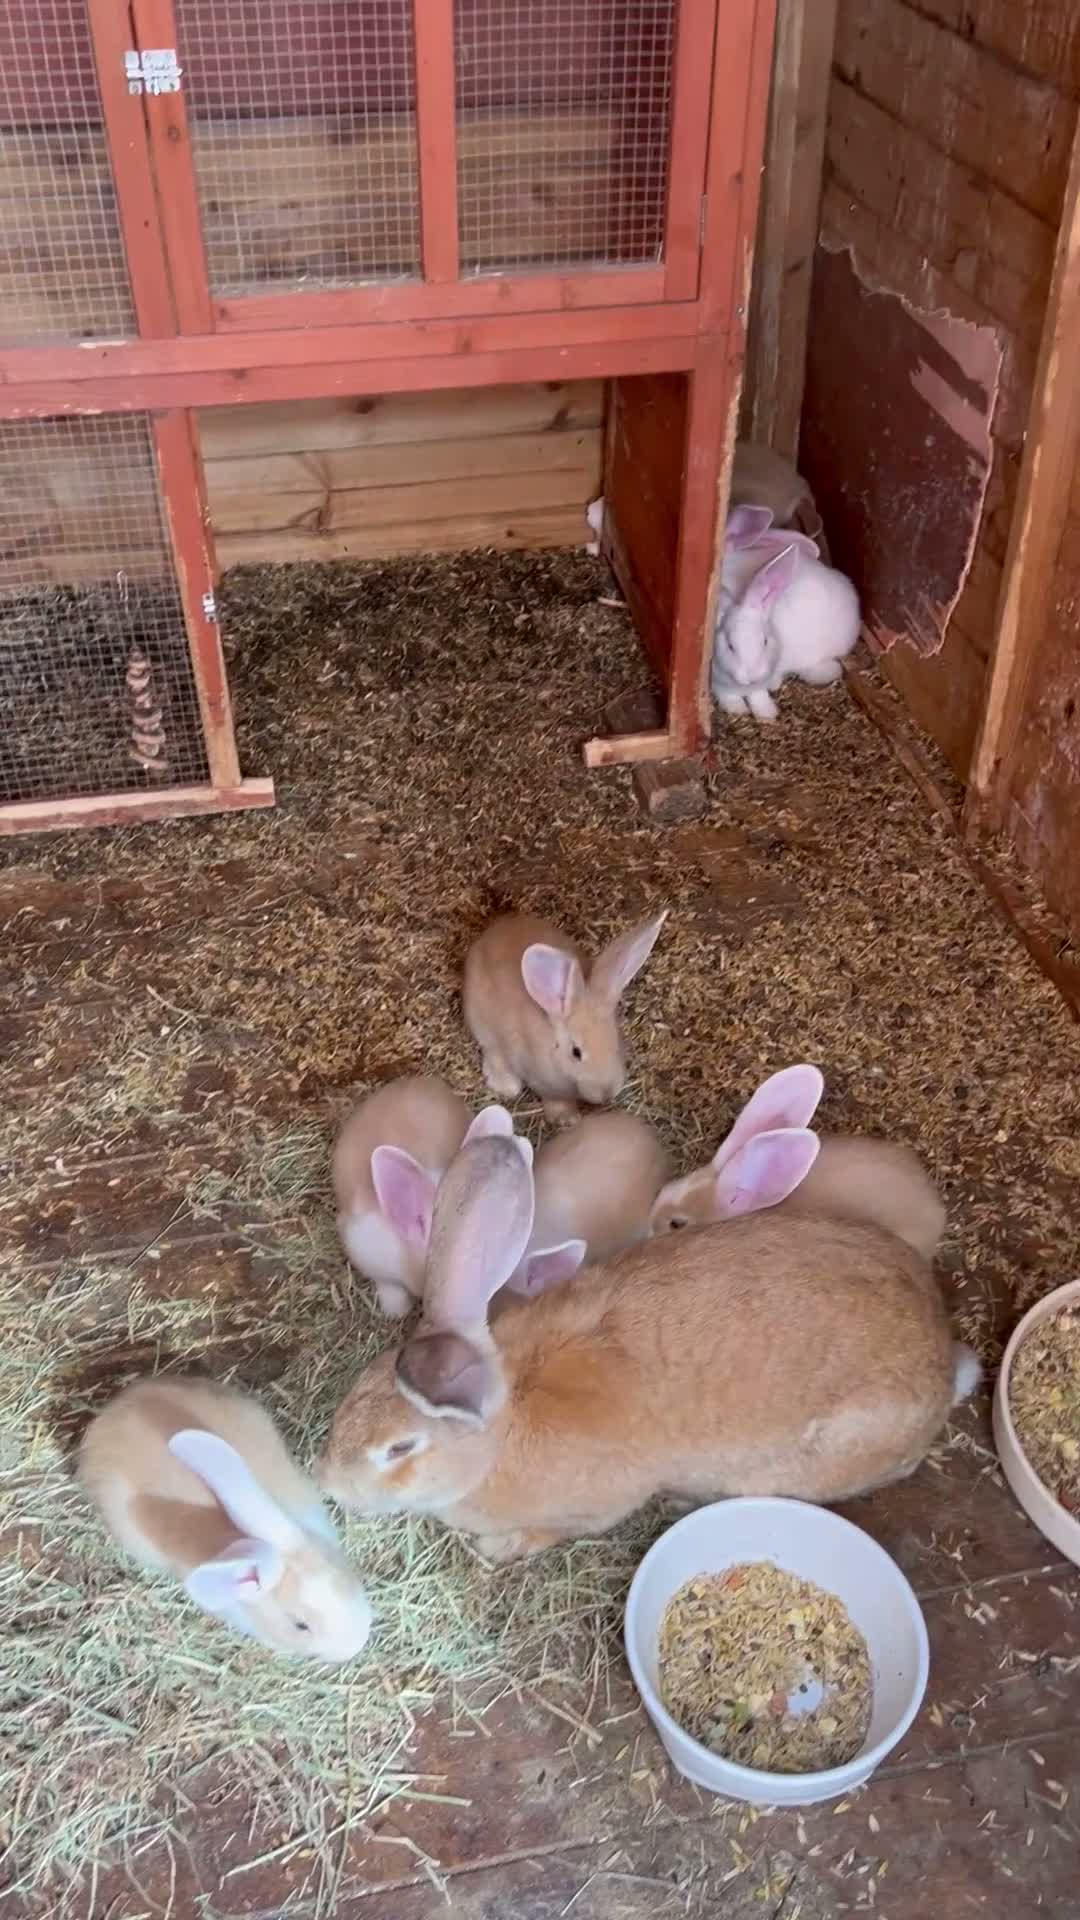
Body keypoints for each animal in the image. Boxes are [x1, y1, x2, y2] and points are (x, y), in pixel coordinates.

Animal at [316, 1131, 977, 1563]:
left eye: (398, 1449)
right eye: (359, 1388)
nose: (329, 1486)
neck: (503, 1425)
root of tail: (943, 1359)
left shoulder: (598, 1506)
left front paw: (499, 1546)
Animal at [463, 909, 668, 1123]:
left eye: (617, 1043)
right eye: (576, 1052)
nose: (606, 1094)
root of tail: (491, 932)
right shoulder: (545, 1084)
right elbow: (555, 1100)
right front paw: (566, 1119)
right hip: (481, 1022)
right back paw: (506, 1085)